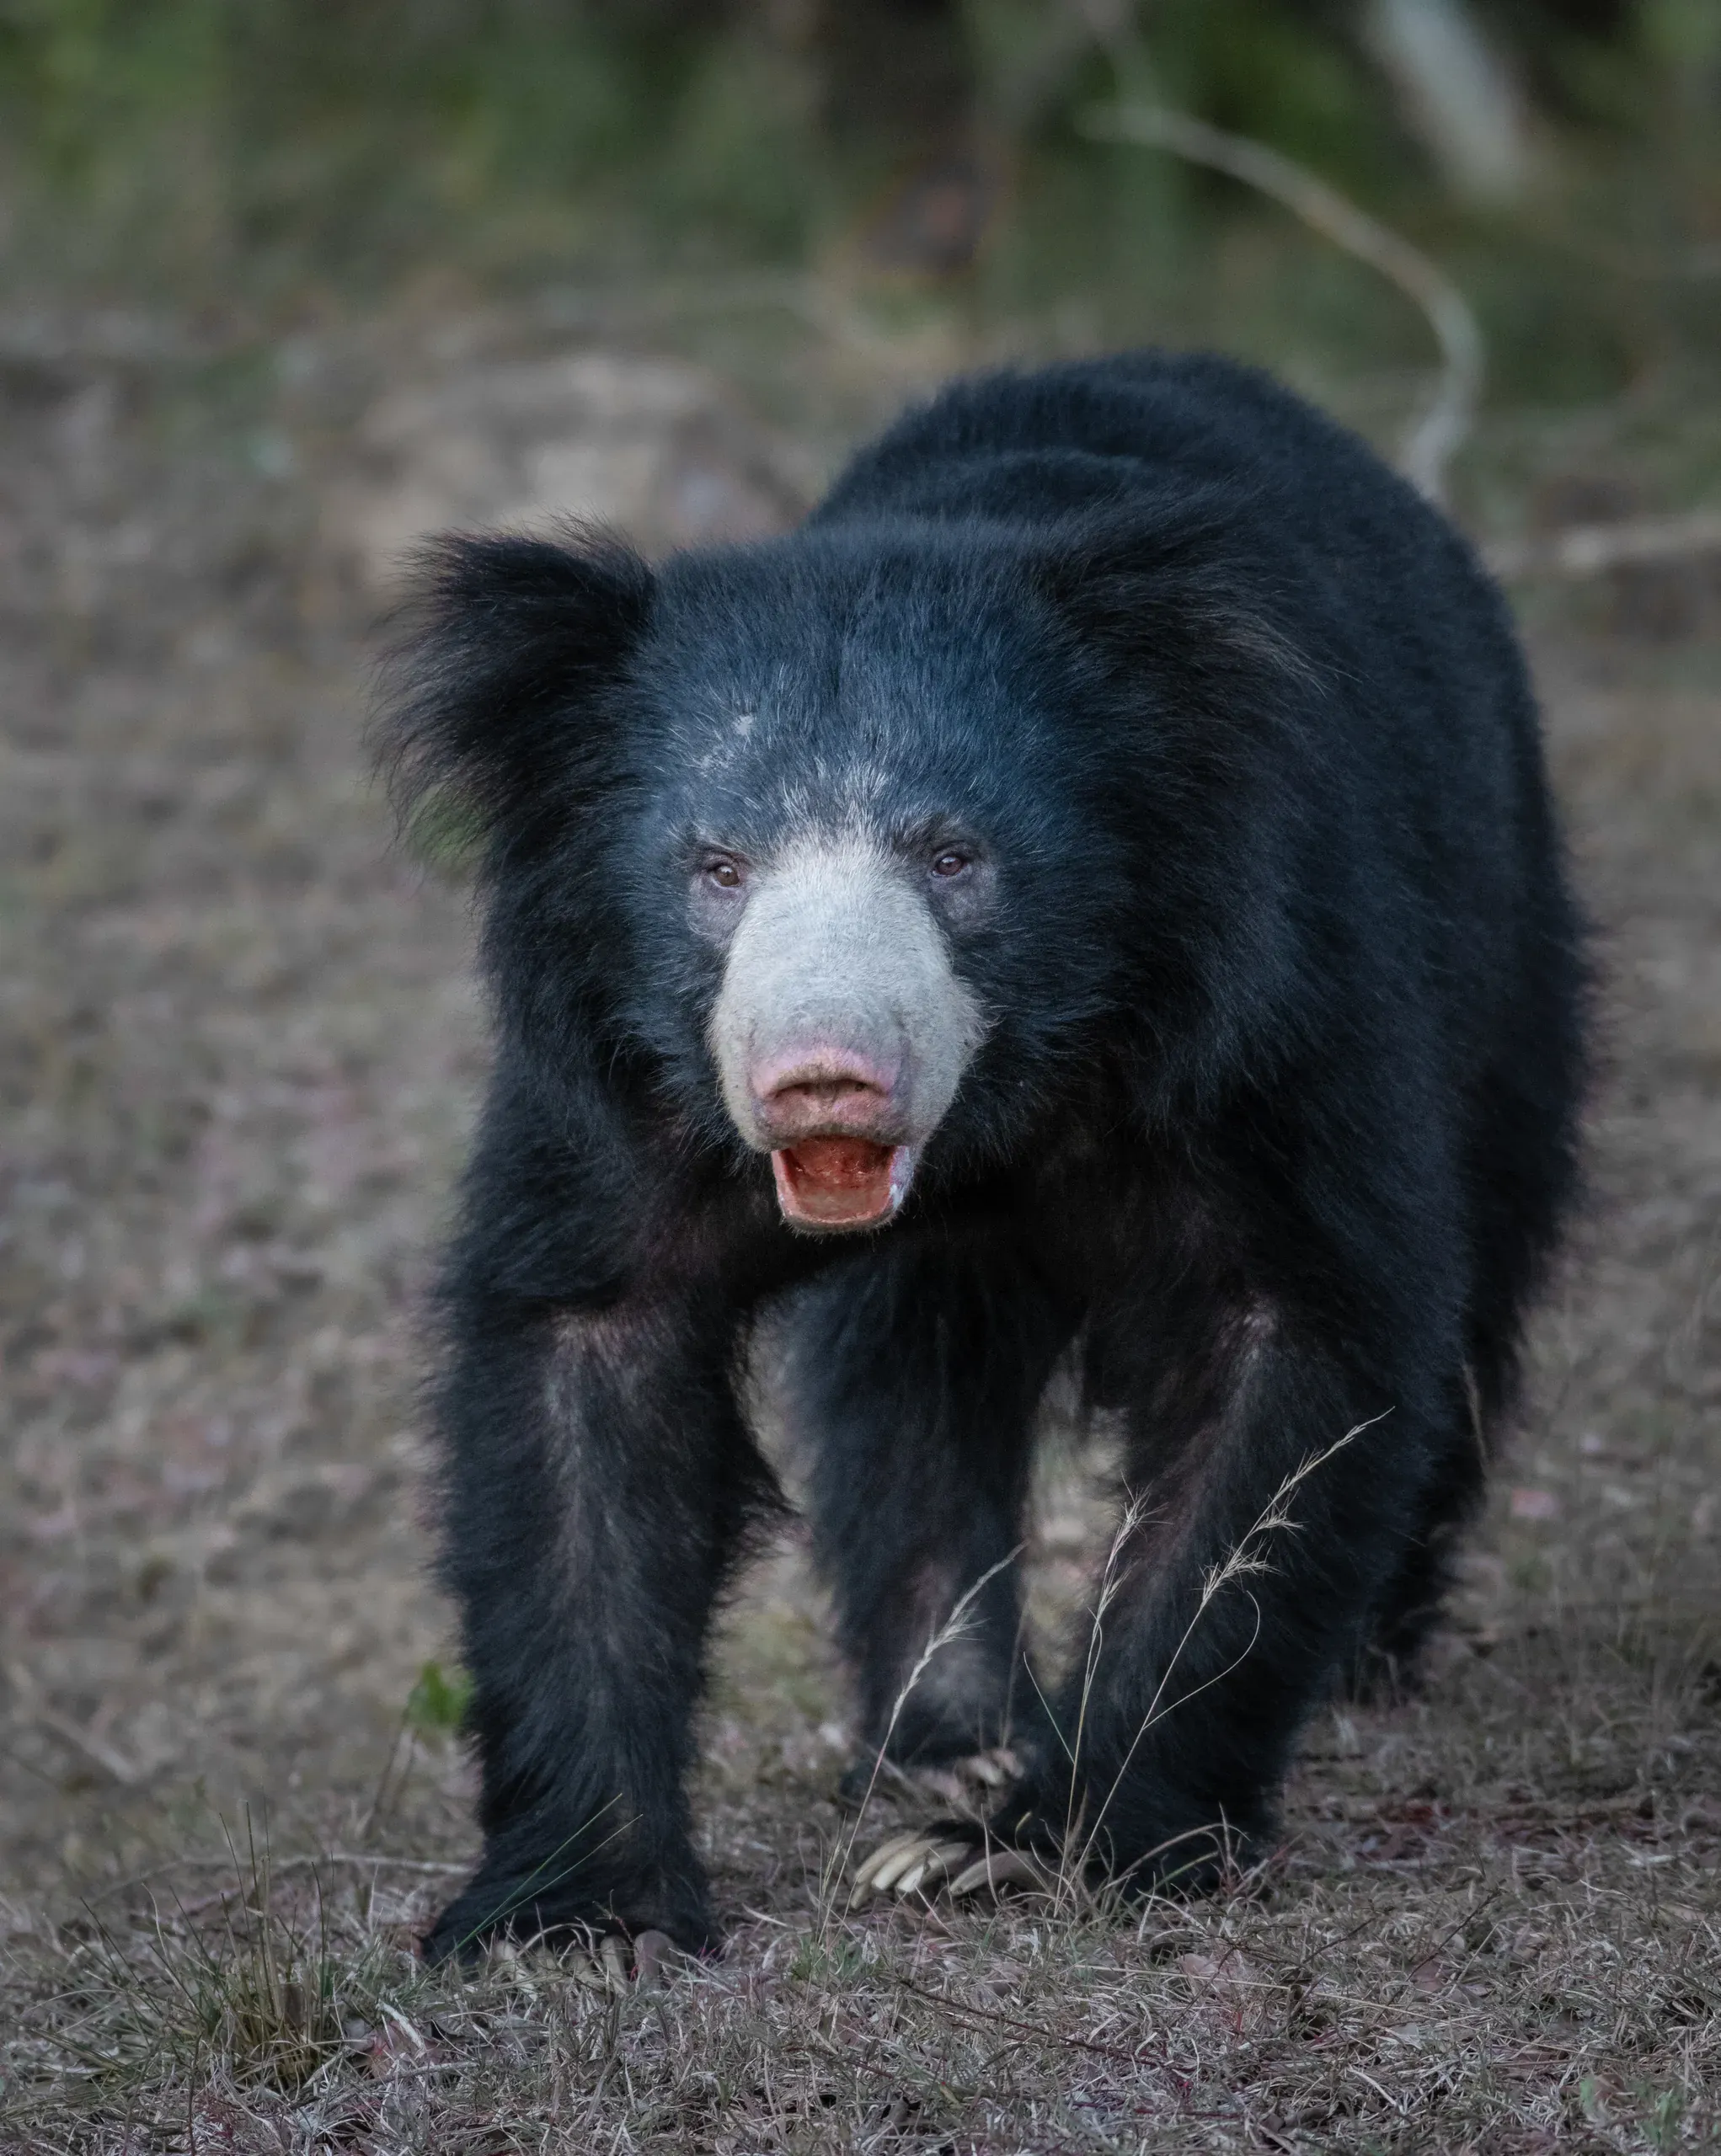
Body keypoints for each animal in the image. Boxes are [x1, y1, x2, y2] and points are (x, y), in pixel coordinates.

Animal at [378, 351, 1586, 1964]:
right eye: (716, 869)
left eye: (952, 857)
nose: (819, 1074)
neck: (1004, 1105)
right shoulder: (621, 1068)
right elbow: (586, 1367)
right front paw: (586, 1908)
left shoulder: (1269, 1009)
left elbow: (1286, 1361)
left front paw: (1044, 1841)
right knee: (908, 1392)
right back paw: (936, 1737)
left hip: (1506, 949)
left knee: (1485, 1261)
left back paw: (1354, 1661)